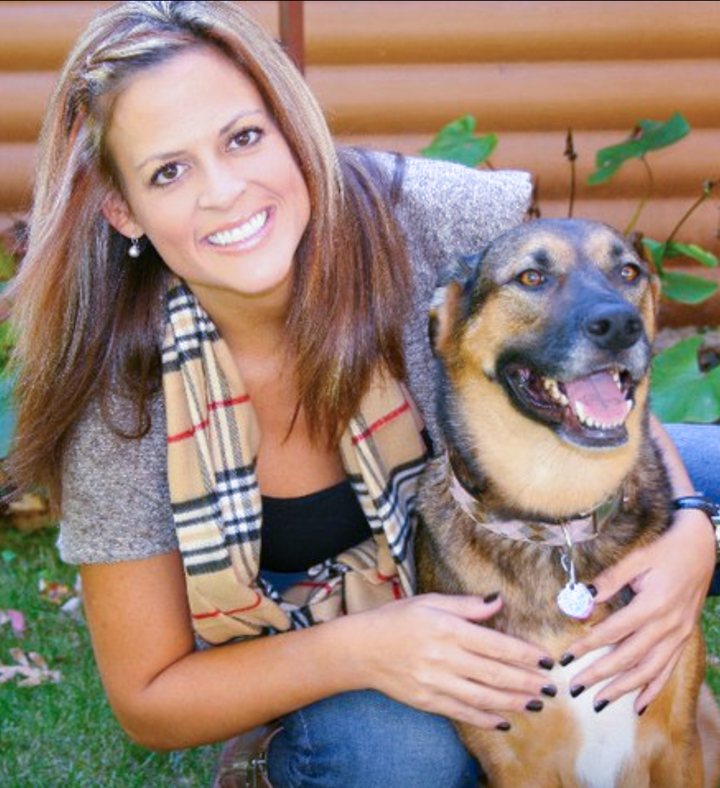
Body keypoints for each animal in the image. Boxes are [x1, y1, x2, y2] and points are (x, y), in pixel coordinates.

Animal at [414, 217, 720, 788]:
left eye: (629, 272)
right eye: (531, 277)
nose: (620, 326)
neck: (558, 522)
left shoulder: (678, 743)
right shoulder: (515, 764)